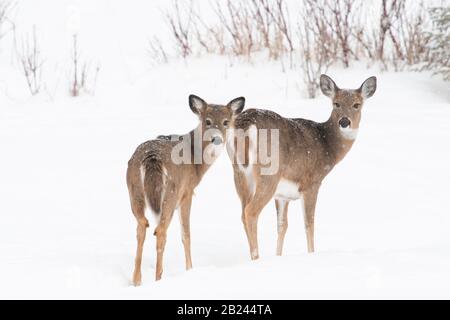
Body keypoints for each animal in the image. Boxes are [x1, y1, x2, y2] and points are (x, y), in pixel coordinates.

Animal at [126, 94, 246, 284]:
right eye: (207, 121)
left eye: (226, 122)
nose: (217, 139)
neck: (196, 162)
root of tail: (151, 157)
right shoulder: (188, 192)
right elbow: (186, 234)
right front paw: (190, 269)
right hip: (171, 194)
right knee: (160, 231)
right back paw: (158, 278)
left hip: (134, 189)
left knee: (142, 226)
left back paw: (137, 280)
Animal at [227, 75, 378, 260]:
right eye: (336, 103)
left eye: (357, 104)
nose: (344, 121)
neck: (327, 145)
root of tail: (245, 123)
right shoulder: (311, 184)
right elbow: (309, 223)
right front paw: (312, 254)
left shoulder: (283, 195)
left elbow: (282, 226)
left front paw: (278, 256)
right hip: (268, 173)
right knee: (251, 212)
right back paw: (257, 258)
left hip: (239, 174)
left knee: (243, 213)